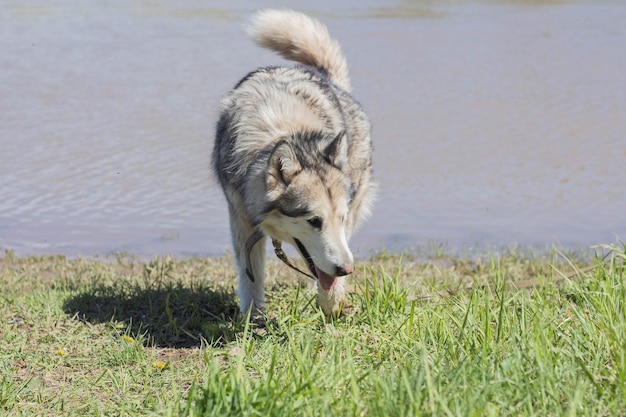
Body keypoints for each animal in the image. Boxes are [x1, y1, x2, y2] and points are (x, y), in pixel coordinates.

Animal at [212, 8, 372, 316]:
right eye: (314, 221)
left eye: (339, 217)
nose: (347, 269)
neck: (287, 132)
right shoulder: (241, 217)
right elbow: (251, 277)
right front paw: (253, 318)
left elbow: (328, 282)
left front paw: (331, 304)